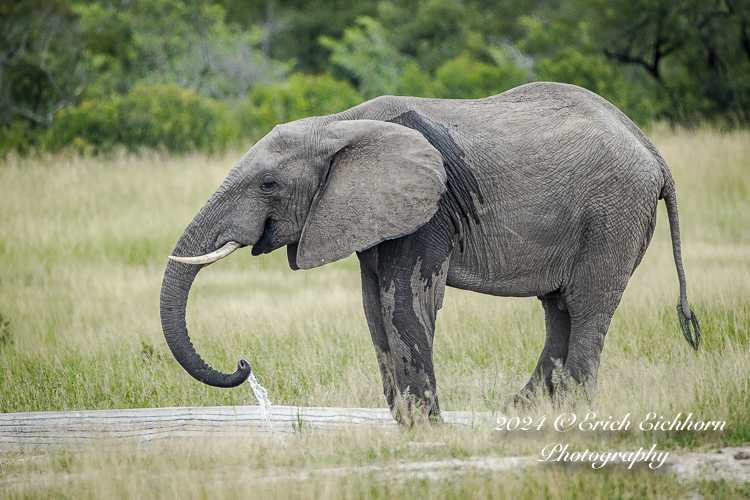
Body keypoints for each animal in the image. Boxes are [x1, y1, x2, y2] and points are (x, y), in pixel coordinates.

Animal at [162, 82, 704, 426]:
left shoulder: (431, 208)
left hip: (613, 216)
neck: (340, 124)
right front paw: (407, 426)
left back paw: (567, 416)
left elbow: (405, 302)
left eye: (268, 184)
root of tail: (653, 151)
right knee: (560, 311)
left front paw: (427, 431)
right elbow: (374, 309)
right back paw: (518, 416)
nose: (243, 363)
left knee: (588, 306)